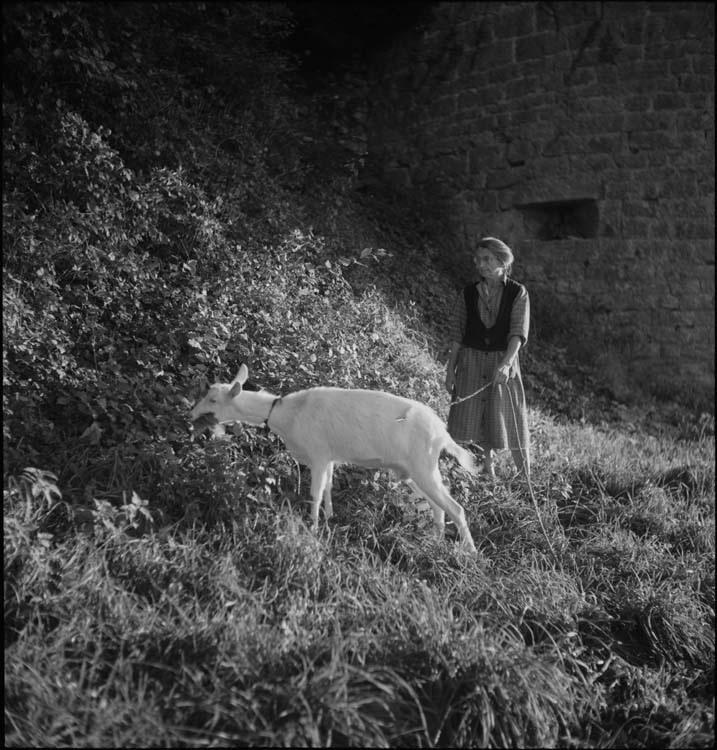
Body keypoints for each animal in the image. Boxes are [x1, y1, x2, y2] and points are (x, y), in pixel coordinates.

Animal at [192, 368, 476, 556]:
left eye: (213, 400)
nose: (190, 412)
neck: (289, 415)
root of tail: (443, 433)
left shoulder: (318, 453)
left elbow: (315, 492)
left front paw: (313, 527)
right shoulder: (329, 455)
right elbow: (328, 486)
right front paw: (329, 517)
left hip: (423, 465)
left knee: (456, 508)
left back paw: (470, 554)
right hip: (412, 471)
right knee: (438, 507)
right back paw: (435, 542)